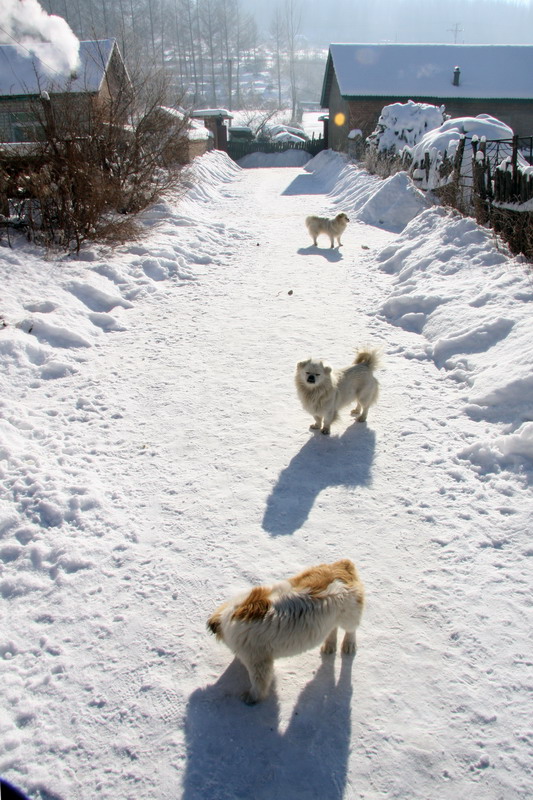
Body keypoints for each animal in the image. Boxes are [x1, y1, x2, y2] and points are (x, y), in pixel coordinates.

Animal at [206, 560, 364, 704]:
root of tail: (344, 565)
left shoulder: (259, 661)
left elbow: (258, 683)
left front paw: (251, 697)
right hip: (333, 618)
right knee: (333, 630)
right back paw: (329, 646)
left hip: (349, 617)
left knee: (351, 631)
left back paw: (349, 645)